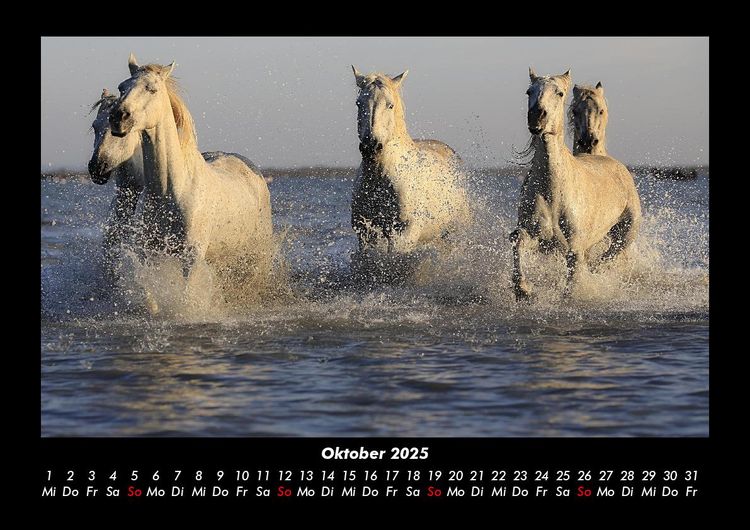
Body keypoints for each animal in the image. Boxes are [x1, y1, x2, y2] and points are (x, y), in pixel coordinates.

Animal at [96, 53, 273, 297]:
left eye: (152, 89)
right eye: (122, 87)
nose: (118, 117)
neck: (171, 191)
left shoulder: (191, 258)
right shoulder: (150, 254)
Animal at [350, 66, 471, 272]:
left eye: (390, 105)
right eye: (359, 103)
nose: (370, 146)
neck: (380, 178)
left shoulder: (403, 232)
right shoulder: (366, 232)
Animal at [509, 68, 641, 300]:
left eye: (559, 93)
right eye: (529, 91)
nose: (536, 117)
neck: (553, 189)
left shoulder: (574, 247)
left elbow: (573, 280)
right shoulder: (538, 237)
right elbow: (518, 240)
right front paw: (523, 289)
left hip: (625, 233)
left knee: (608, 257)